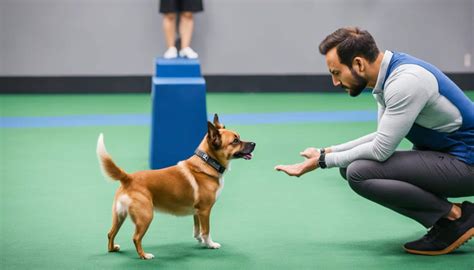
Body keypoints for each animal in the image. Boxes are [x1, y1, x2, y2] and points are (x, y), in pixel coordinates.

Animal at [96, 114, 256, 260]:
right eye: (235, 141)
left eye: (239, 138)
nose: (254, 143)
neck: (208, 162)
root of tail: (128, 178)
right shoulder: (205, 211)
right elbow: (206, 231)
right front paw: (210, 244)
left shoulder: (197, 212)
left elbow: (197, 229)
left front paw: (200, 240)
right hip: (146, 217)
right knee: (136, 238)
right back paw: (144, 255)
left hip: (119, 216)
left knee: (110, 233)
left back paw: (113, 249)